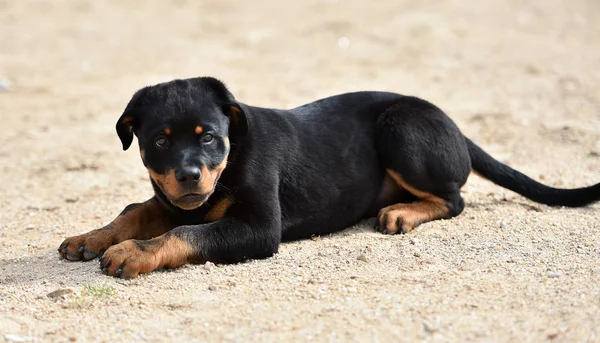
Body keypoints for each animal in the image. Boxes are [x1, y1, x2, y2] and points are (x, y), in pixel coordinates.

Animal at [57, 76, 600, 278]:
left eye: (208, 136)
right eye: (160, 141)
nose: (190, 175)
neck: (233, 155)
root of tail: (456, 128)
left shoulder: (258, 228)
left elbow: (187, 232)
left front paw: (130, 253)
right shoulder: (171, 197)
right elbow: (137, 209)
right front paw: (92, 237)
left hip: (399, 127)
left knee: (454, 197)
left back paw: (402, 212)